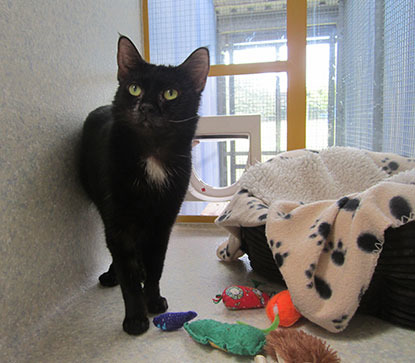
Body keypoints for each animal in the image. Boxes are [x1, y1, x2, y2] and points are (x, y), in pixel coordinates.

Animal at [80, 37, 211, 336]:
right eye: (134, 88)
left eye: (171, 93)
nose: (147, 107)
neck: (152, 156)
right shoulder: (118, 221)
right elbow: (127, 275)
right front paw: (136, 318)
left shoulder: (163, 220)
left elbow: (156, 265)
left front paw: (153, 301)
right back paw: (112, 273)